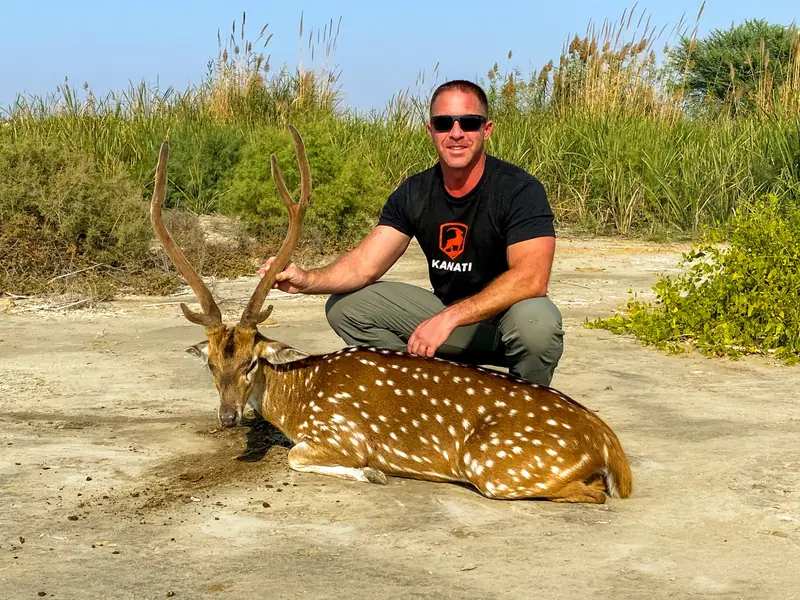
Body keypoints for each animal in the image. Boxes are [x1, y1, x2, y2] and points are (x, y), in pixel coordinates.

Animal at [150, 126, 633, 504]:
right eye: (212, 364)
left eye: (252, 362)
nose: (228, 417)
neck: (296, 399)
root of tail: (609, 443)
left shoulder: (341, 432)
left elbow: (295, 456)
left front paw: (373, 472)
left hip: (497, 465)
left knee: (591, 491)